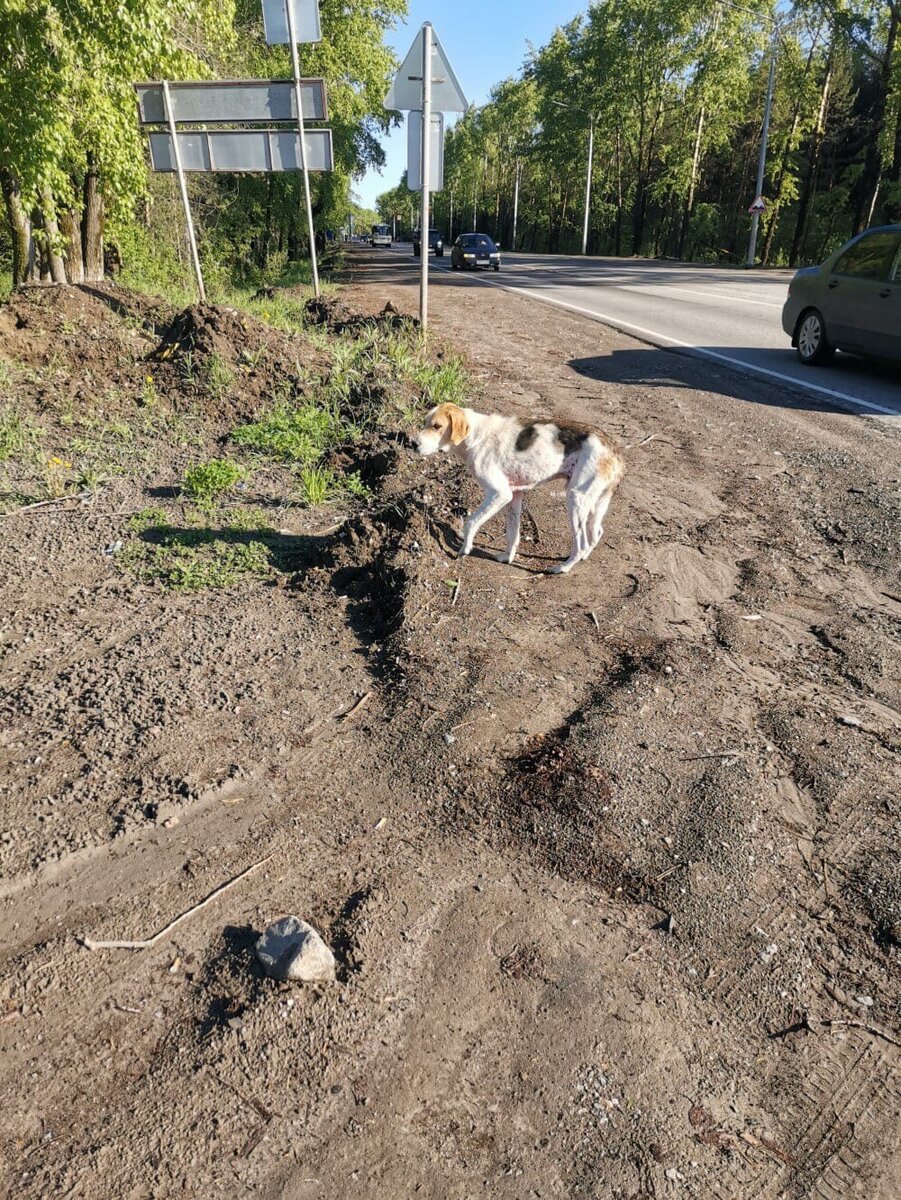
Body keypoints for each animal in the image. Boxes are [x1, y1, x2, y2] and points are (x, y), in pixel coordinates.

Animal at [415, 403, 619, 571]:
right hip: (592, 502)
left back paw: (564, 567)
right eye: (424, 423)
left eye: (437, 426)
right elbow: (513, 533)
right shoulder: (515, 495)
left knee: (582, 543)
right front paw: (508, 557)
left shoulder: (499, 494)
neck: (474, 435)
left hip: (575, 499)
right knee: (597, 533)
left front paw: (465, 549)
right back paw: (583, 557)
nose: (412, 443)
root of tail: (614, 449)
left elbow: (471, 522)